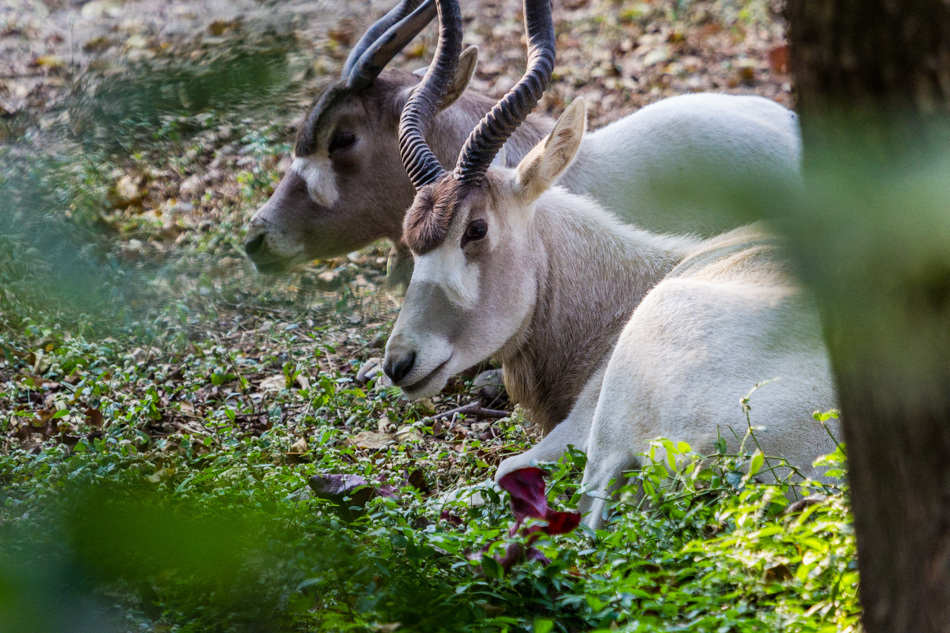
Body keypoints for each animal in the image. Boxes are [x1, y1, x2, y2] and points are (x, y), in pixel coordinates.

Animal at [382, 0, 840, 528]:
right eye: (411, 237)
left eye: (475, 228)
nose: (399, 362)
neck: (634, 282)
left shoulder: (574, 428)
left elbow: (504, 468)